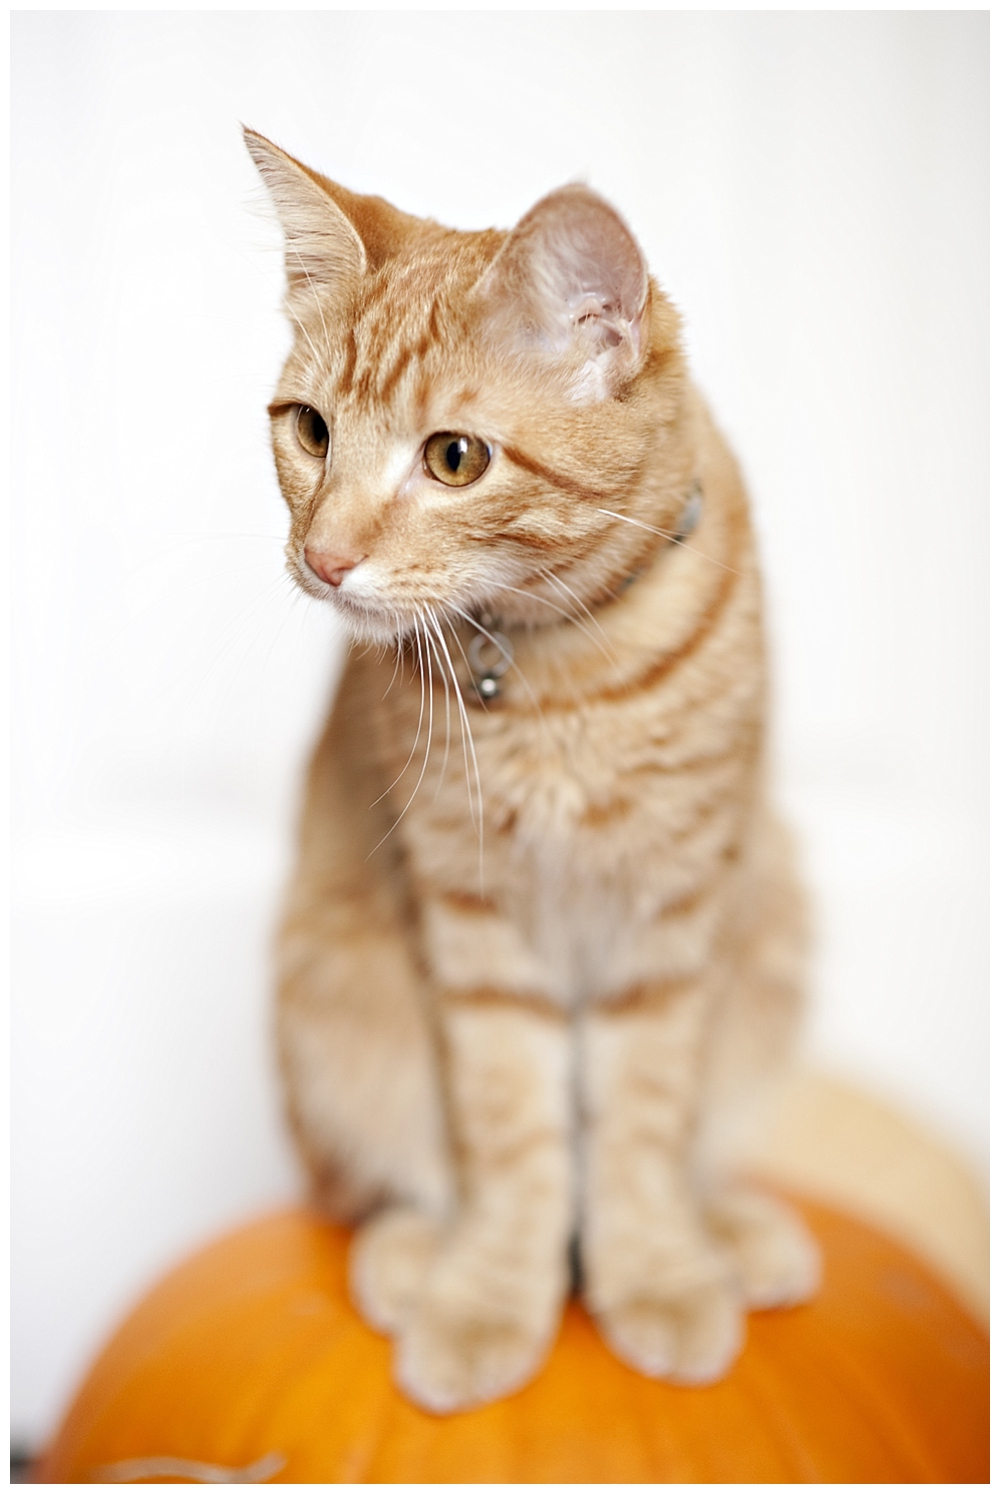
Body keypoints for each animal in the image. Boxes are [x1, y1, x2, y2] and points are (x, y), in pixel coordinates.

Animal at [245, 128, 813, 1410]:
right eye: (310, 430)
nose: (322, 557)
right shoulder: (473, 927)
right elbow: (510, 1135)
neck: (560, 675)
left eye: (454, 459)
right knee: (376, 1181)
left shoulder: (673, 914)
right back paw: (417, 1253)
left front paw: (658, 1275)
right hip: (328, 982)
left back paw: (729, 1235)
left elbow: (643, 1125)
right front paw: (491, 1297)